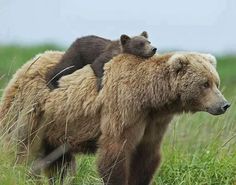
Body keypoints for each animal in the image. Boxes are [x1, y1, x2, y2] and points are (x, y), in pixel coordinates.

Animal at [0, 51, 229, 185]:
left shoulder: (154, 121)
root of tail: (26, 65)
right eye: (205, 83)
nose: (224, 104)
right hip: (31, 110)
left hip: (57, 126)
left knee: (59, 161)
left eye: (216, 82)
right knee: (20, 148)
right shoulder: (123, 108)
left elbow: (147, 156)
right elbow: (116, 151)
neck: (150, 98)